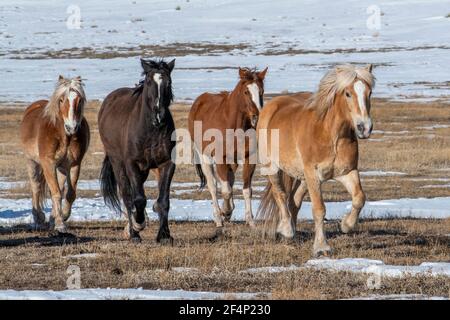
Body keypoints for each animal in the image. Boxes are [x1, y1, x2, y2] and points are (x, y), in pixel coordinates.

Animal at [20, 76, 89, 234]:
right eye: (62, 100)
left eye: (79, 100)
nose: (72, 127)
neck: (63, 135)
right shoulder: (48, 164)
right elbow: (56, 193)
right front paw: (59, 224)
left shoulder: (75, 164)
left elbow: (69, 193)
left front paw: (62, 217)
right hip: (32, 162)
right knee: (36, 187)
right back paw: (38, 218)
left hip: (62, 168)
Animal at [99, 58, 177, 242]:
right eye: (148, 81)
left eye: (168, 82)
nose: (159, 116)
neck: (151, 130)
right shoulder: (132, 164)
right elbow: (138, 199)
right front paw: (138, 224)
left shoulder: (167, 163)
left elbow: (164, 201)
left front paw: (164, 235)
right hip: (118, 163)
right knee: (127, 196)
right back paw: (133, 232)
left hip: (143, 170)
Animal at [187, 66, 268, 229]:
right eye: (246, 92)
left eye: (261, 91)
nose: (257, 117)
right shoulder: (220, 158)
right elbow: (225, 191)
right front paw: (225, 212)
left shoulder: (248, 158)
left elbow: (246, 190)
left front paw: (250, 220)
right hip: (205, 157)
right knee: (213, 186)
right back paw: (218, 217)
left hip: (233, 161)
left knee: (229, 180)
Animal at [256, 63, 376, 256]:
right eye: (348, 93)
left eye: (369, 92)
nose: (364, 127)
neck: (330, 134)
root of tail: (273, 104)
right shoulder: (313, 175)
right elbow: (319, 209)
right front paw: (321, 247)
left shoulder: (347, 172)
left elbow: (359, 198)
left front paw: (346, 225)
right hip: (272, 167)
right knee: (280, 194)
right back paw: (286, 229)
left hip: (303, 177)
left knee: (293, 201)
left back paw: (291, 232)